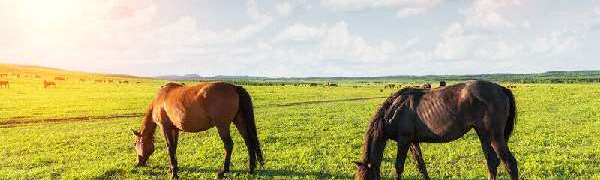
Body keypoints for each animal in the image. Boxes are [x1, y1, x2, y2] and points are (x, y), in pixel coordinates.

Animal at [132, 82, 264, 179]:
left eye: (135, 144)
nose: (139, 163)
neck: (160, 99)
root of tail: (234, 87)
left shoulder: (165, 127)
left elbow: (169, 147)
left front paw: (174, 173)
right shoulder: (175, 129)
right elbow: (174, 147)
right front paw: (172, 168)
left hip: (222, 126)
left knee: (229, 145)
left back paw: (223, 171)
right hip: (240, 121)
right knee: (249, 141)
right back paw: (251, 168)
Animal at [354, 80, 516, 180]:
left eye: (366, 178)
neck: (395, 109)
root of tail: (500, 88)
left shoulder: (404, 141)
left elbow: (399, 166)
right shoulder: (413, 142)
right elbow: (421, 165)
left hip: (495, 137)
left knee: (510, 163)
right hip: (483, 135)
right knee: (492, 162)